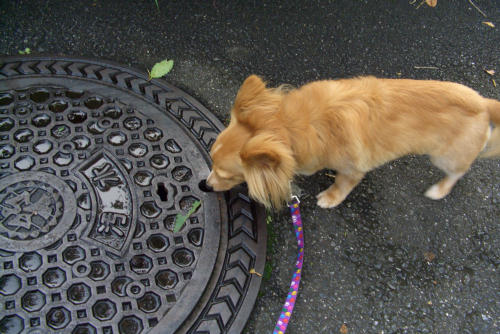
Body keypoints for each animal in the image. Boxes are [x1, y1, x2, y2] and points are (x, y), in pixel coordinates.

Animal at [205, 75, 498, 209]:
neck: (290, 126)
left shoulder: (353, 169)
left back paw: (439, 190)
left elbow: (342, 184)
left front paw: (330, 198)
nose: (203, 186)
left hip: (445, 157)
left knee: (457, 172)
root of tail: (484, 103)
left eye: (226, 175)